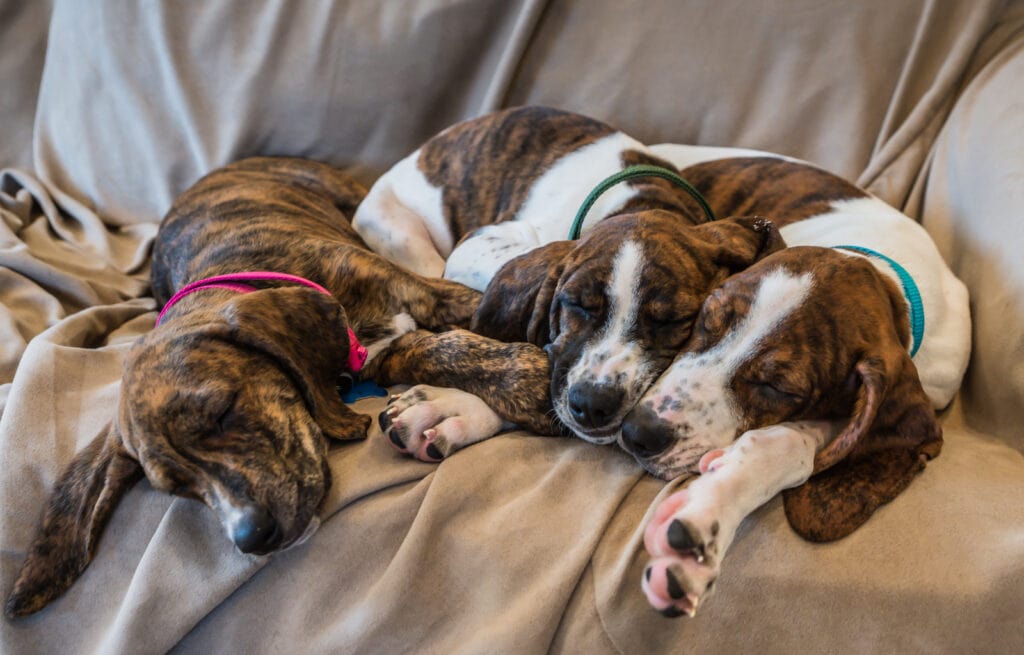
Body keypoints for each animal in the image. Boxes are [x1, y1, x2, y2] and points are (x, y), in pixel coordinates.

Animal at [356, 108, 778, 454]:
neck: (639, 202)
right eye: (576, 306)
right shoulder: (479, 243)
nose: (592, 404)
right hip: (398, 233)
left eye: (671, 320)